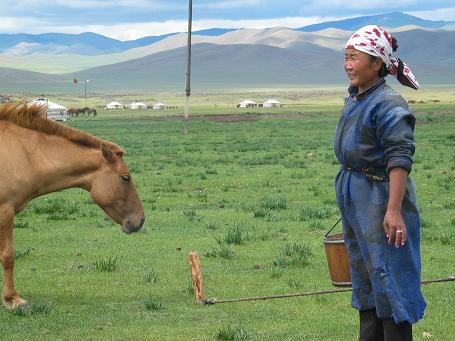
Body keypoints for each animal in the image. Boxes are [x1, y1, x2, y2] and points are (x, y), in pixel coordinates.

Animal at [0, 101, 145, 308]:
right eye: (126, 178)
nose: (140, 220)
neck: (21, 154)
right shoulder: (5, 211)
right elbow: (8, 256)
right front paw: (12, 298)